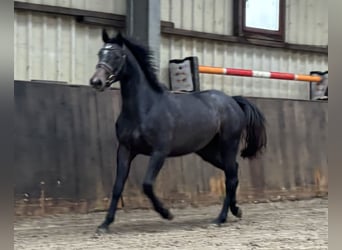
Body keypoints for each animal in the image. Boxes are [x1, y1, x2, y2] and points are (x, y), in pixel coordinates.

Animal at [89, 30, 266, 233]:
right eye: (100, 54)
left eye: (117, 56)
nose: (96, 82)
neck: (145, 109)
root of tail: (233, 101)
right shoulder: (125, 150)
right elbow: (118, 186)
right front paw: (105, 224)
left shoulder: (160, 152)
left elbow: (147, 184)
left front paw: (167, 213)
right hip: (207, 151)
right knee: (233, 172)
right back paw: (236, 210)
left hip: (228, 144)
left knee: (230, 177)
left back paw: (220, 218)